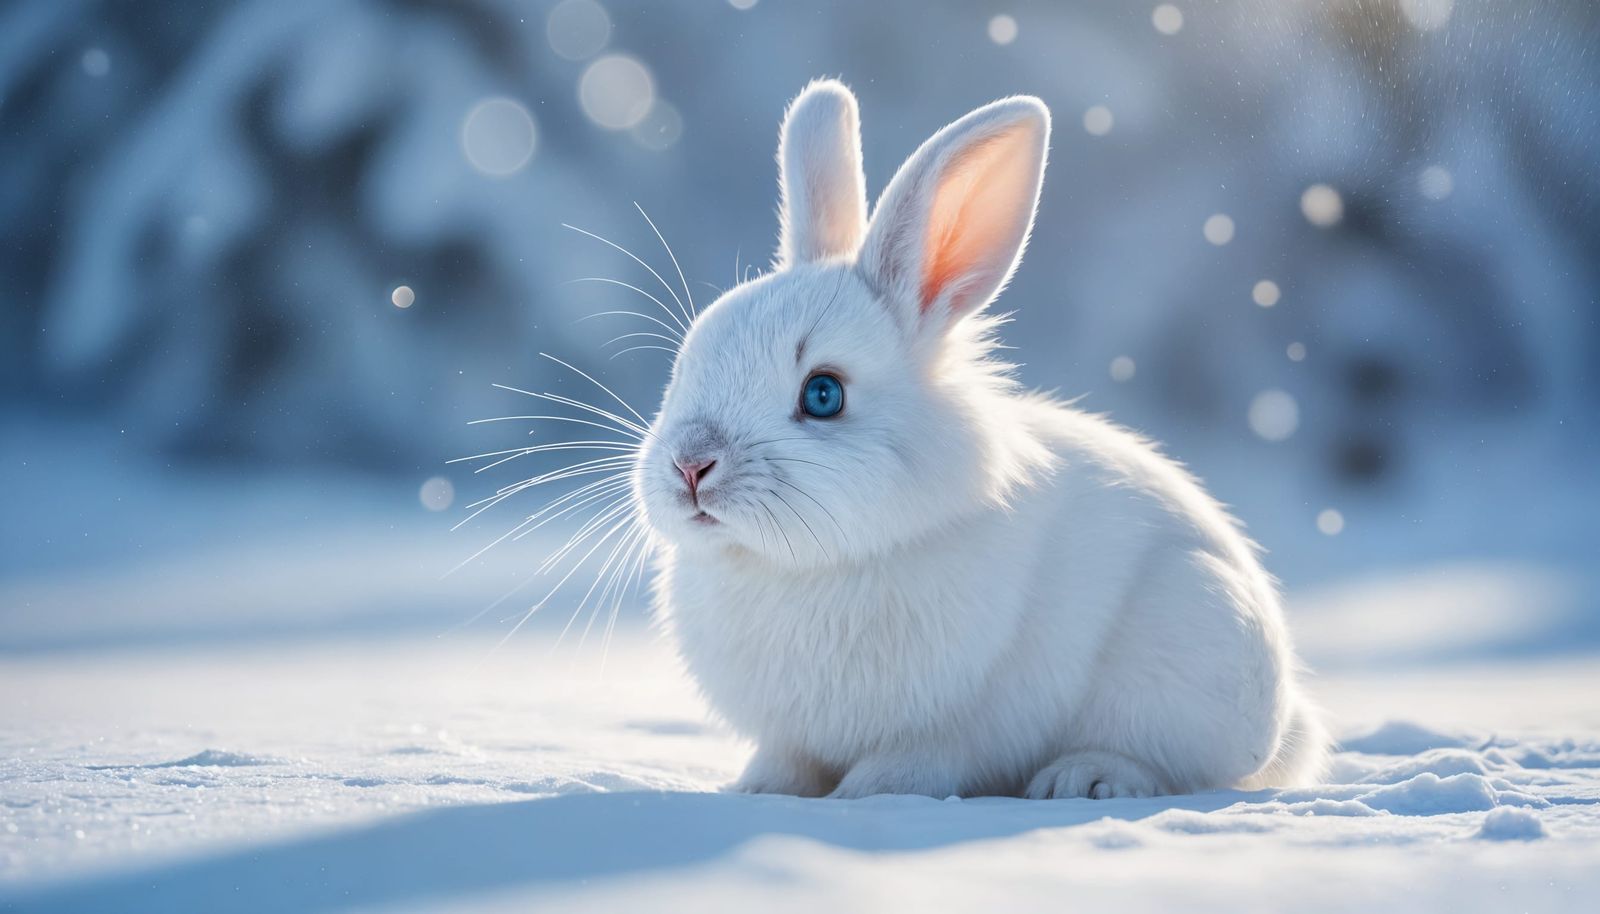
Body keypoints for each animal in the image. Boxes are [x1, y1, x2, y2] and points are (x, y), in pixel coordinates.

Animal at [632, 79, 1327, 799]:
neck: (802, 565)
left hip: (1190, 637)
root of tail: (1286, 717)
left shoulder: (965, 723)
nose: (691, 465)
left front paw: (867, 791)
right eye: (686, 364)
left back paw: (1085, 778)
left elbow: (924, 757)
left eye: (823, 395)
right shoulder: (795, 736)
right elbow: (787, 761)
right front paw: (757, 790)